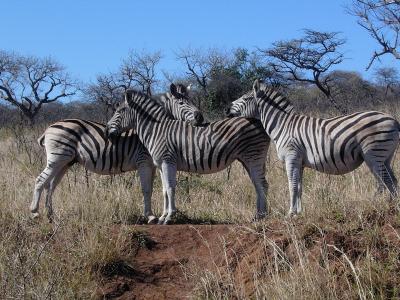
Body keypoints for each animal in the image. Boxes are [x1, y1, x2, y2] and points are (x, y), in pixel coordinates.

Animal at [30, 83, 203, 224]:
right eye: (182, 103)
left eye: (192, 100)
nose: (201, 118)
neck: (153, 128)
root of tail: (49, 128)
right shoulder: (143, 161)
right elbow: (146, 189)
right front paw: (150, 216)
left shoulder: (154, 164)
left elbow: (153, 189)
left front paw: (152, 214)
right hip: (58, 157)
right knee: (40, 180)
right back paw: (35, 213)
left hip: (65, 162)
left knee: (50, 185)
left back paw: (50, 215)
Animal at [105, 89, 272, 225]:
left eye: (119, 112)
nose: (106, 130)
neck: (157, 130)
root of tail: (259, 122)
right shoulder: (160, 165)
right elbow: (164, 190)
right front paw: (162, 217)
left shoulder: (168, 161)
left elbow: (170, 188)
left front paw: (169, 217)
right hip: (248, 160)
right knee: (258, 184)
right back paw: (257, 216)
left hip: (253, 157)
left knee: (262, 184)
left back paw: (262, 216)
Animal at [227, 79, 398, 216]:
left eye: (245, 98)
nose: (227, 109)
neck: (282, 125)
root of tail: (394, 120)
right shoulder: (300, 162)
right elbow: (299, 187)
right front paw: (298, 213)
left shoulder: (291, 157)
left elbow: (292, 186)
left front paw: (290, 213)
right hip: (385, 157)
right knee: (392, 181)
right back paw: (392, 207)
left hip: (373, 155)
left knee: (384, 182)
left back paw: (377, 205)